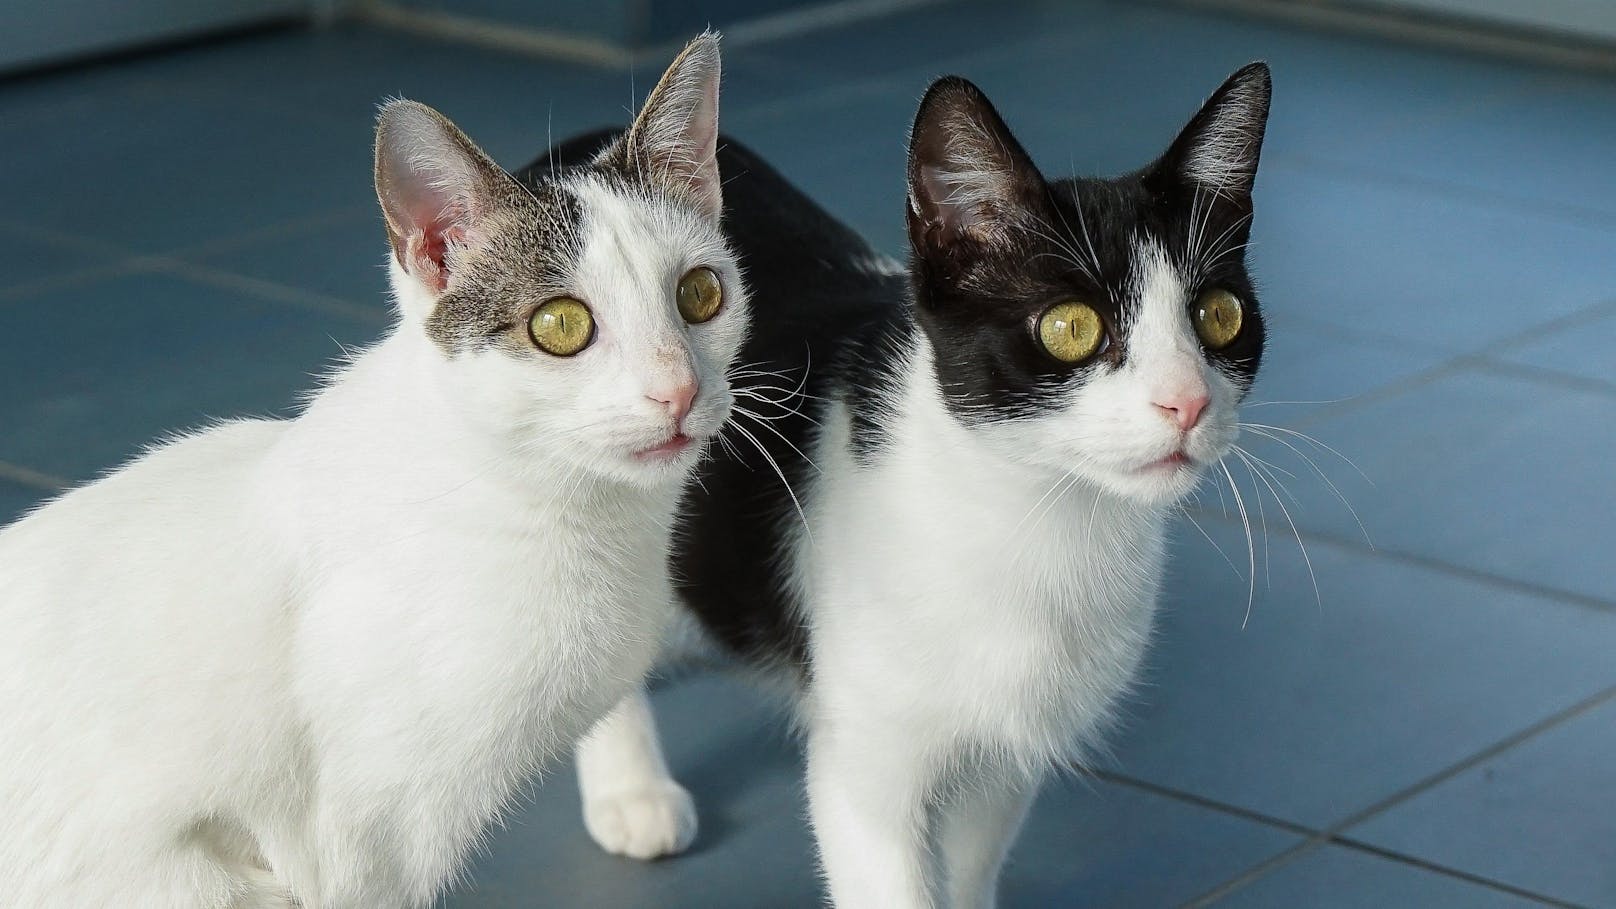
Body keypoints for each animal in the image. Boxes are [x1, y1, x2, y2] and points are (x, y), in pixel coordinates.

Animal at [552, 60, 1273, 899]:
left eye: (1219, 316)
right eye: (1071, 327)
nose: (1187, 400)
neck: (1030, 514)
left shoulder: (1004, 757)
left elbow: (967, 867)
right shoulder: (864, 766)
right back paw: (629, 788)